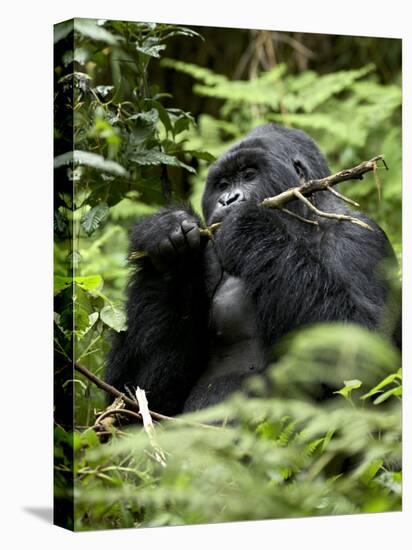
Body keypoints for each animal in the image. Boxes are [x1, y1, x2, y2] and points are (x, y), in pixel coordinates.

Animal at [104, 125, 400, 416]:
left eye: (249, 175)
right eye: (223, 185)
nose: (227, 200)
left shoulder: (359, 238)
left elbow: (362, 355)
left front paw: (247, 223)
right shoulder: (209, 256)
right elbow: (138, 395)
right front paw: (167, 240)